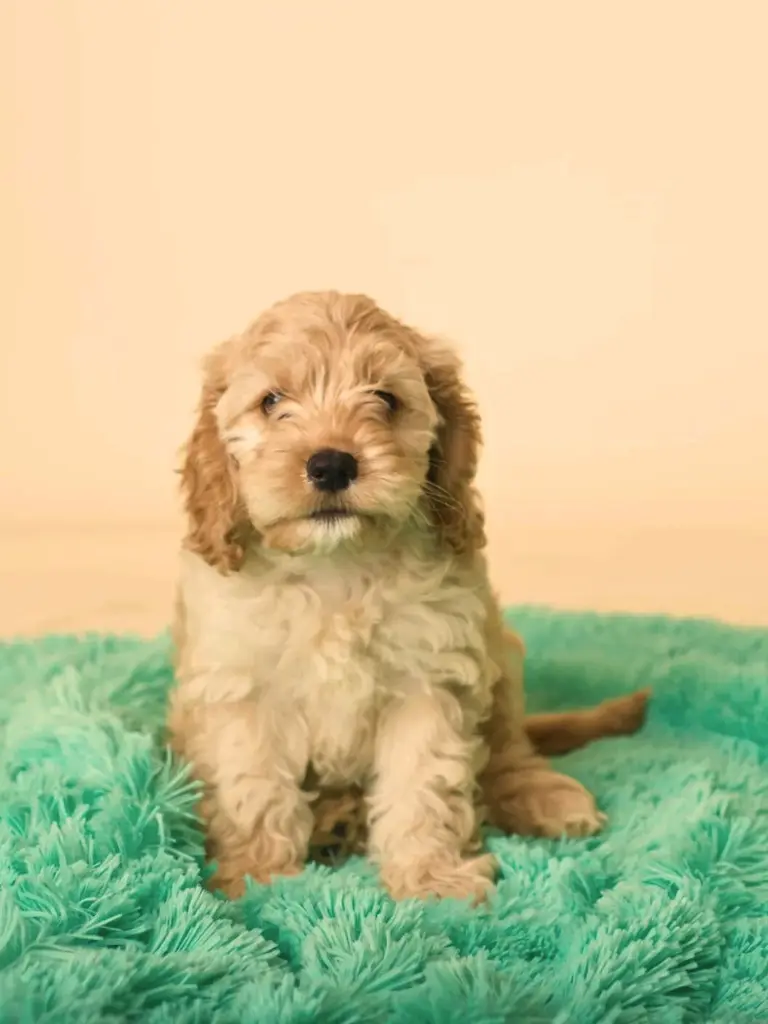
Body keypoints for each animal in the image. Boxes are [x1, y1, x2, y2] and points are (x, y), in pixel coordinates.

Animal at [169, 292, 651, 901]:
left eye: (386, 398)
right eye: (271, 401)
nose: (331, 463)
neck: (337, 565)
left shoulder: (431, 678)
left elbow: (423, 784)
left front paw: (431, 879)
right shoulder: (243, 689)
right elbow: (253, 789)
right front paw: (257, 877)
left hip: (502, 656)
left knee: (510, 751)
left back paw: (542, 797)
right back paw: (335, 819)